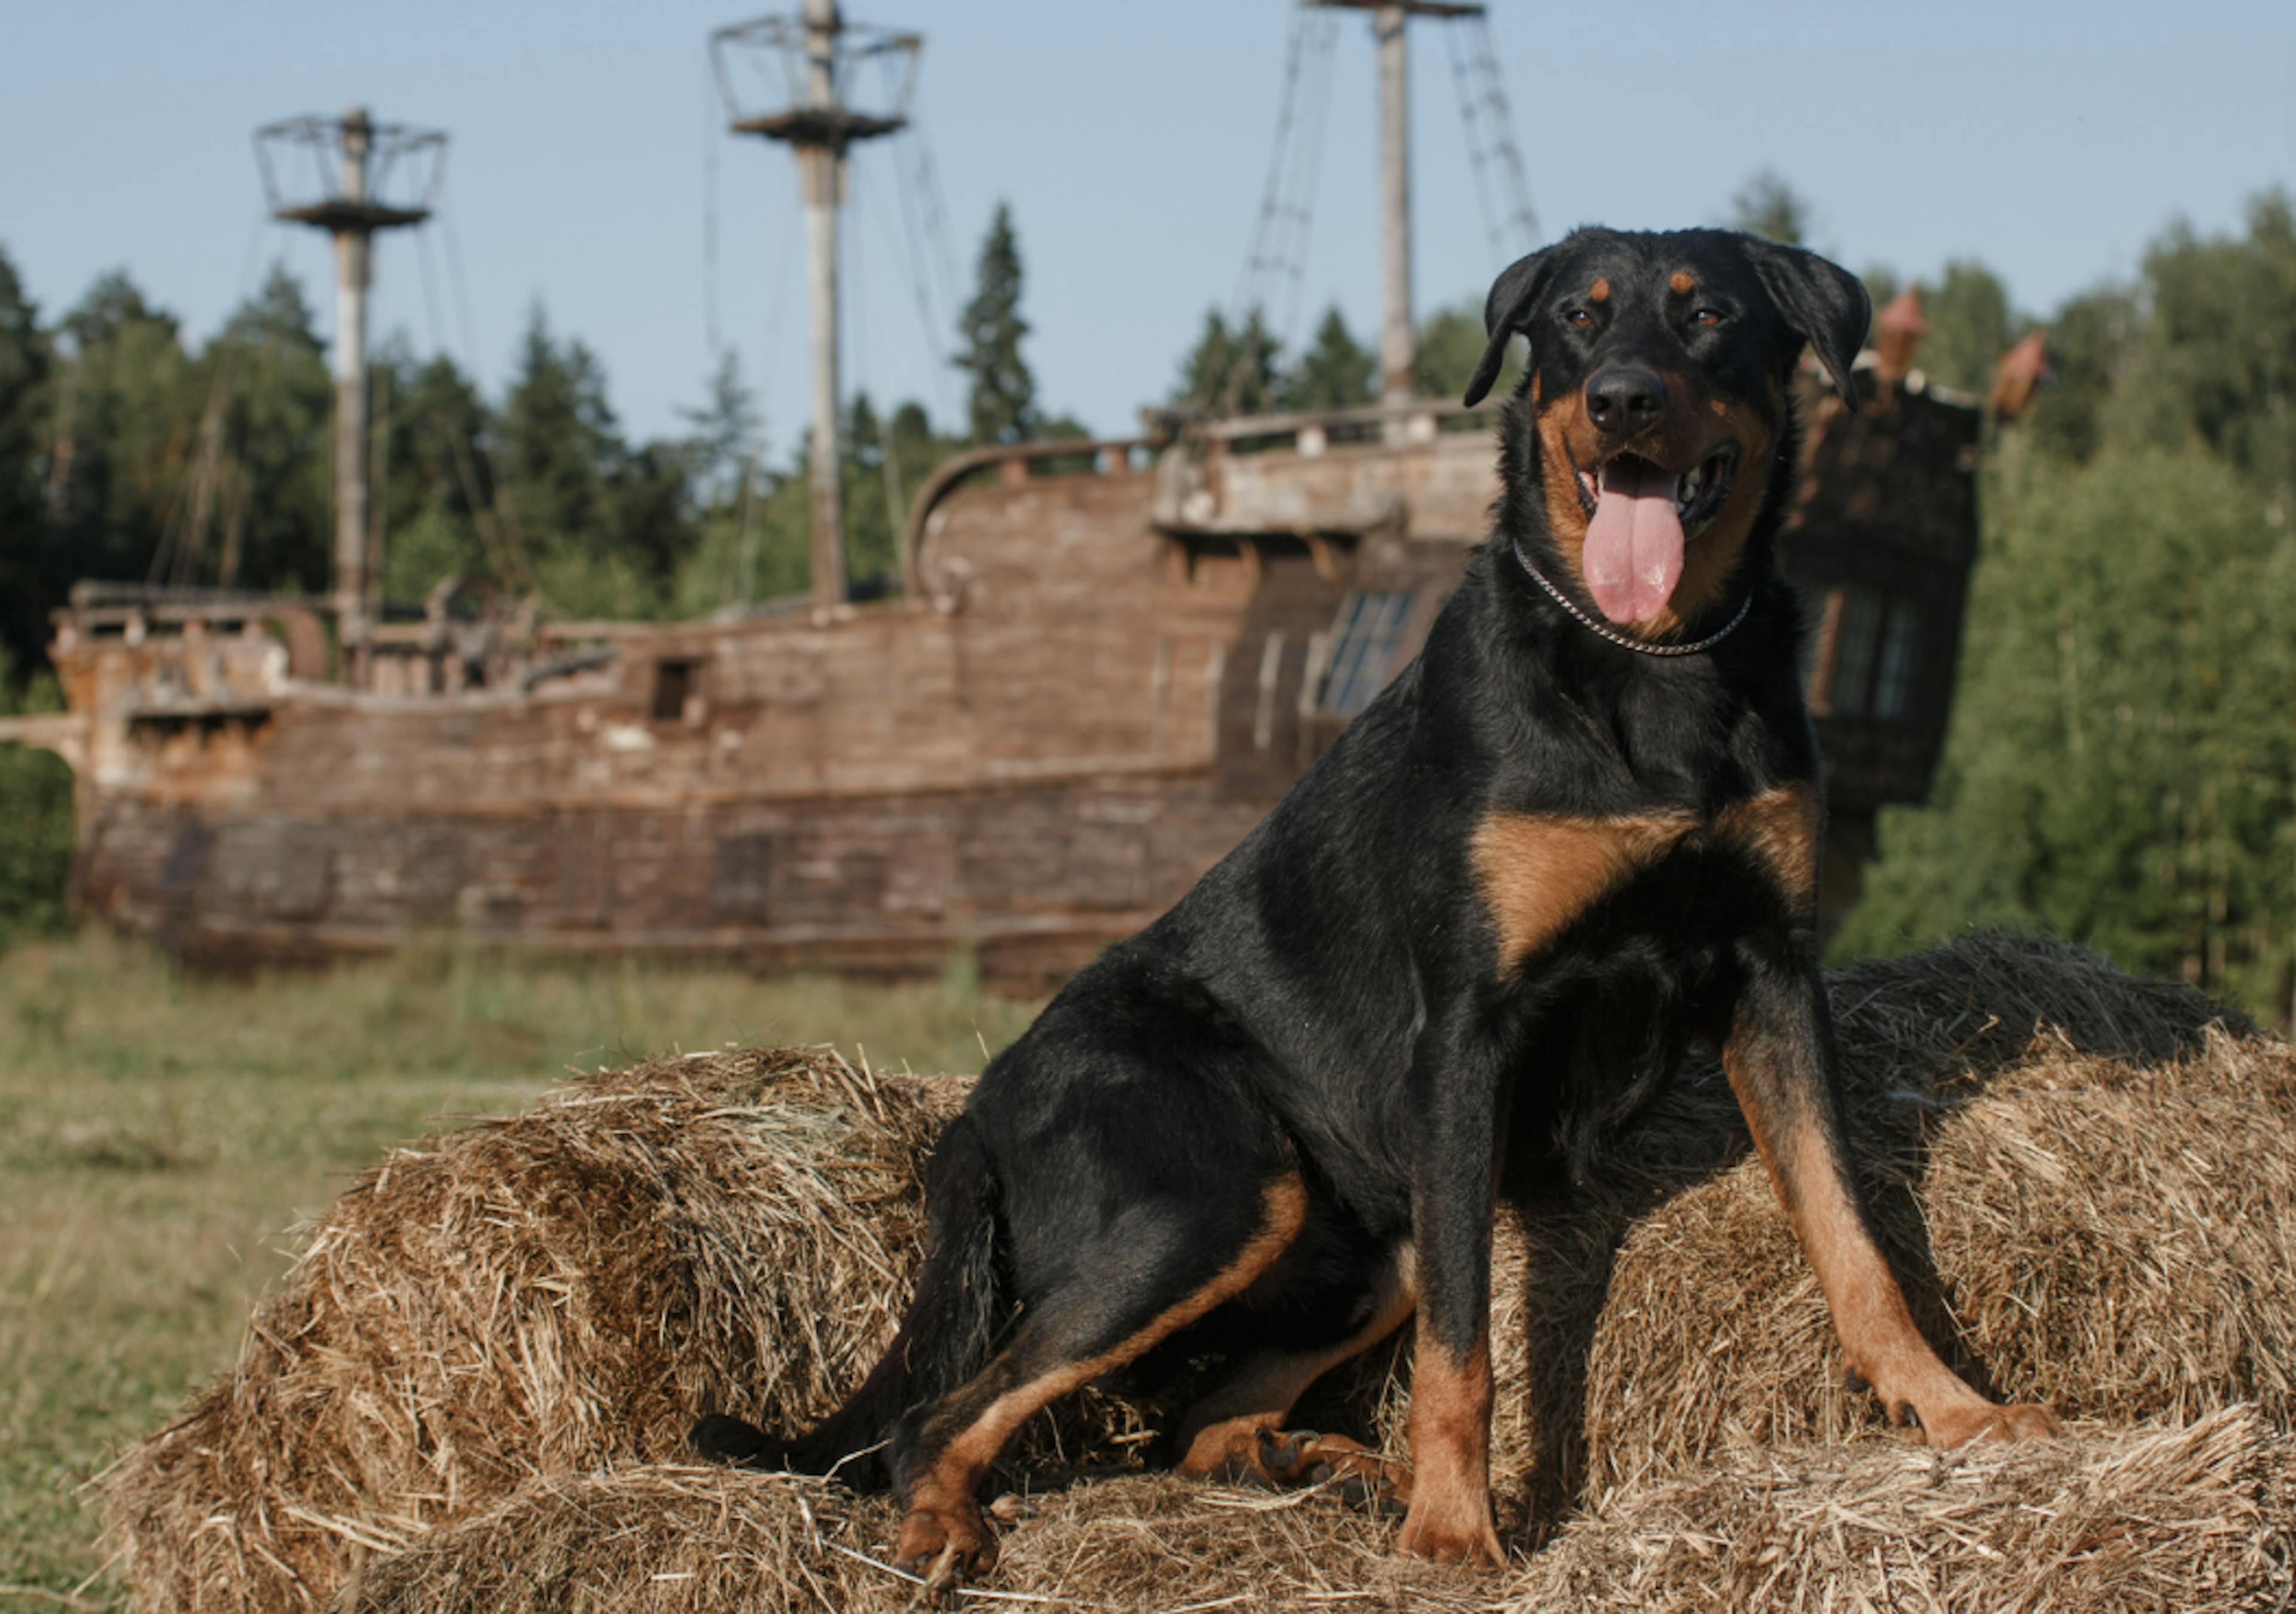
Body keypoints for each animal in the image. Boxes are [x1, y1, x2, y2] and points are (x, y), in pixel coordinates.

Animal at [689, 227, 2057, 1579]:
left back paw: (1323, 1462)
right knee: (945, 1413)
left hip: (1368, 1240)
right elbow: (1469, 1345)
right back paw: (954, 1524)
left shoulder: (1772, 972)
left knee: (1191, 1419)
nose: (1620, 400)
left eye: (1708, 313)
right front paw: (1456, 1529)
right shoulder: (1466, 1030)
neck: (1653, 660)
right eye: (1577, 318)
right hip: (1218, 1194)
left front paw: (1955, 1410)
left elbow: (1853, 1234)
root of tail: (973, 1110)